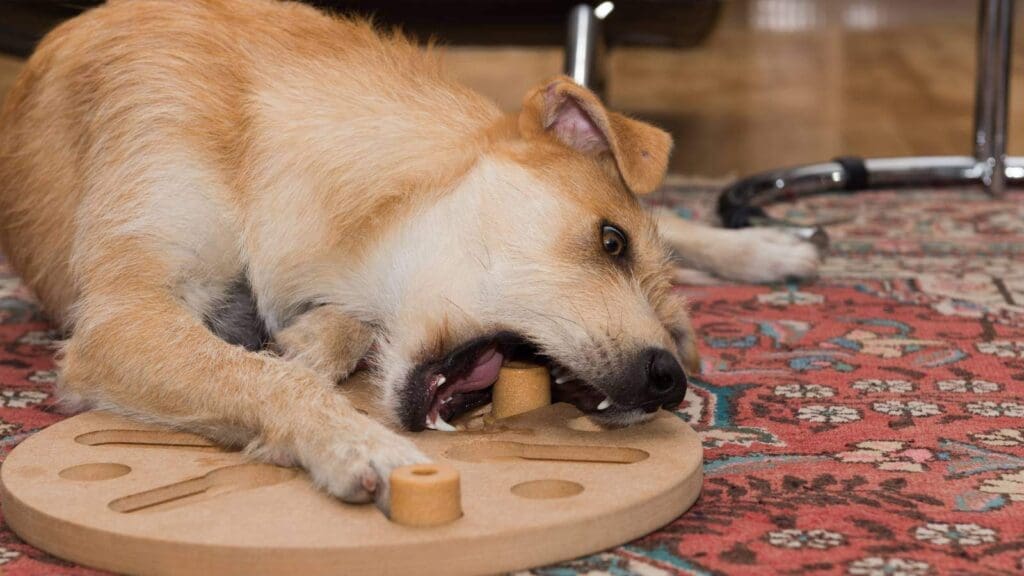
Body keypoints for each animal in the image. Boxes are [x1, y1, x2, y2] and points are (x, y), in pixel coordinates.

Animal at [0, 0, 815, 510]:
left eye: (677, 342)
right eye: (610, 241)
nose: (670, 380)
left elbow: (301, 349)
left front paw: (315, 344)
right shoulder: (121, 318)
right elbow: (266, 375)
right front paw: (353, 439)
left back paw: (765, 244)